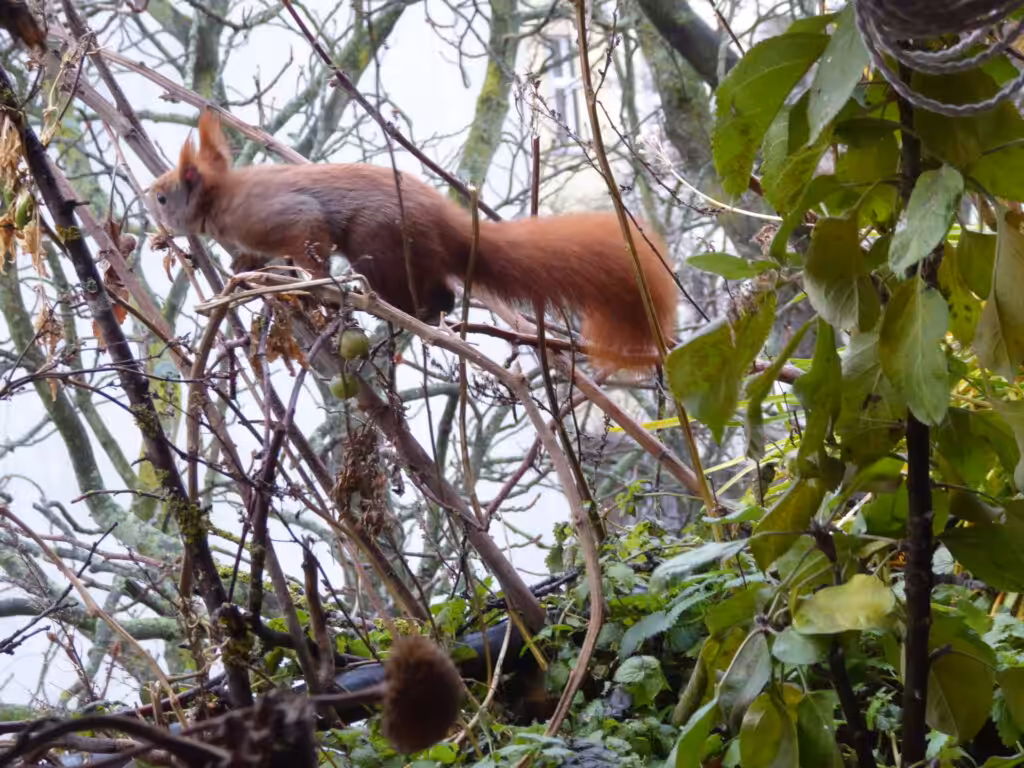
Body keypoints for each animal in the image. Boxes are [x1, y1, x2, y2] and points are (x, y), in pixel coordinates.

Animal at [148, 111, 679, 371]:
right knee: (441, 291)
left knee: (424, 293)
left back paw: (409, 314)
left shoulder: (286, 217)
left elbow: (310, 244)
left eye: (161, 196)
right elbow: (247, 259)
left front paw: (311, 288)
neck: (222, 199)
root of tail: (453, 229)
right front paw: (241, 277)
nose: (144, 202)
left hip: (380, 247)